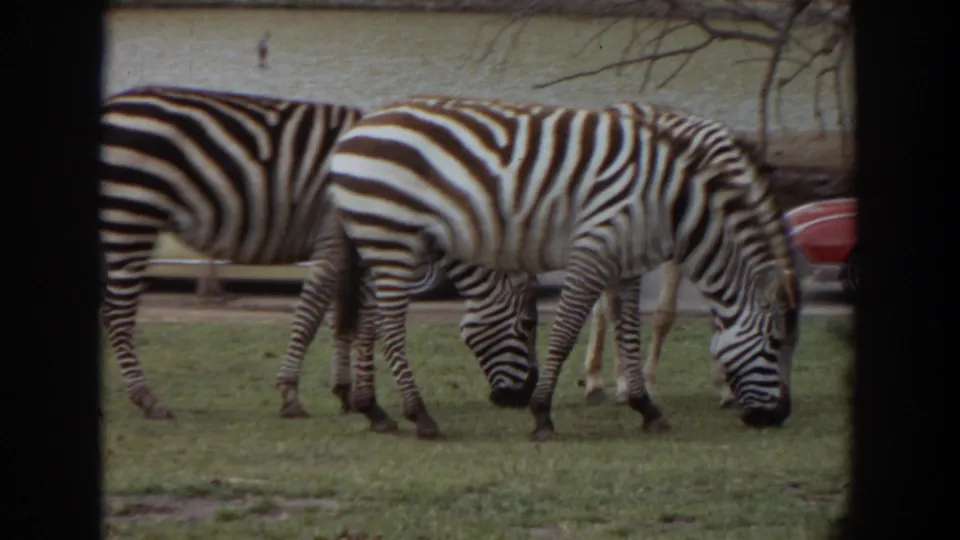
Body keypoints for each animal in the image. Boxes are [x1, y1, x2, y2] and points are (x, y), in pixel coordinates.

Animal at [99, 85, 539, 420]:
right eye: (525, 327)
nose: (522, 398)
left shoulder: (356, 251)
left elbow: (342, 319)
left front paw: (345, 392)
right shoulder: (342, 241)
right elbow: (323, 315)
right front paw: (293, 394)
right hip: (131, 214)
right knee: (117, 313)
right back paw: (148, 399)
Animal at [326, 96, 800, 441]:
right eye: (776, 343)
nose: (779, 416)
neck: (674, 202)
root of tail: (354, 132)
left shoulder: (626, 262)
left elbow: (628, 331)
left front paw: (645, 406)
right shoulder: (593, 249)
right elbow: (569, 328)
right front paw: (542, 415)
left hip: (380, 242)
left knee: (369, 318)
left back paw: (377, 411)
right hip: (393, 239)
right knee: (389, 326)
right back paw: (419, 416)